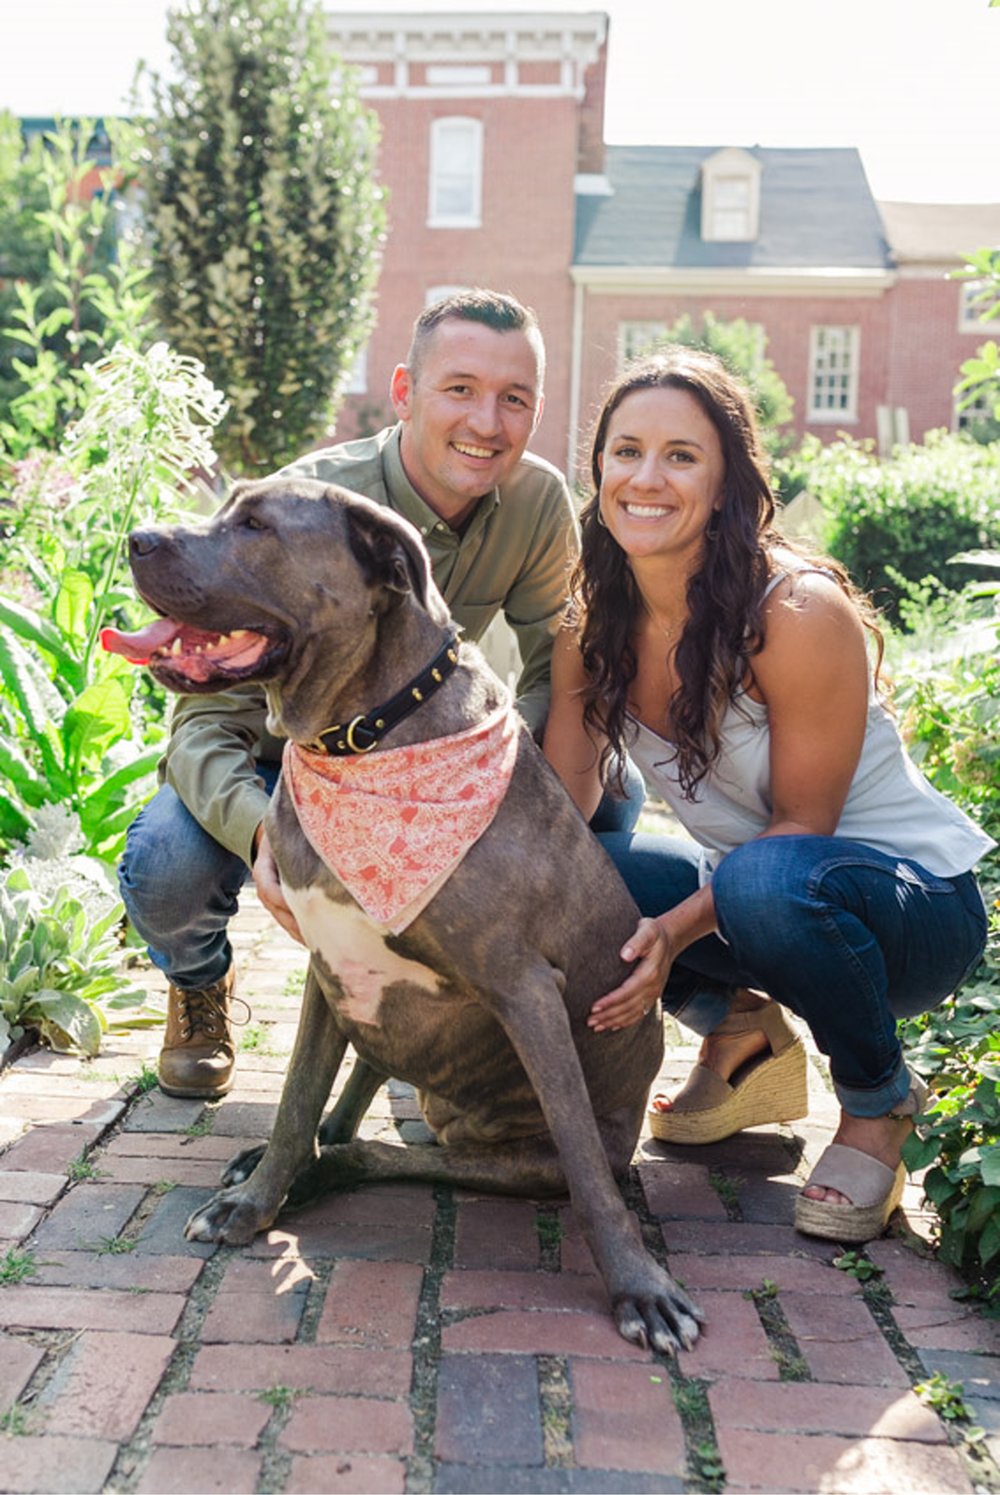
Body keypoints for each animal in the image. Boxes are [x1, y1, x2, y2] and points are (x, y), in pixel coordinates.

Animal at [118, 478, 702, 1357]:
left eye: (256, 525)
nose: (136, 538)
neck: (366, 734)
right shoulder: (328, 969)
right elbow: (295, 1104)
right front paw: (255, 1203)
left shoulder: (527, 991)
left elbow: (590, 1181)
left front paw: (641, 1288)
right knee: (352, 1120)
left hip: (522, 1152)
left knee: (422, 1155)